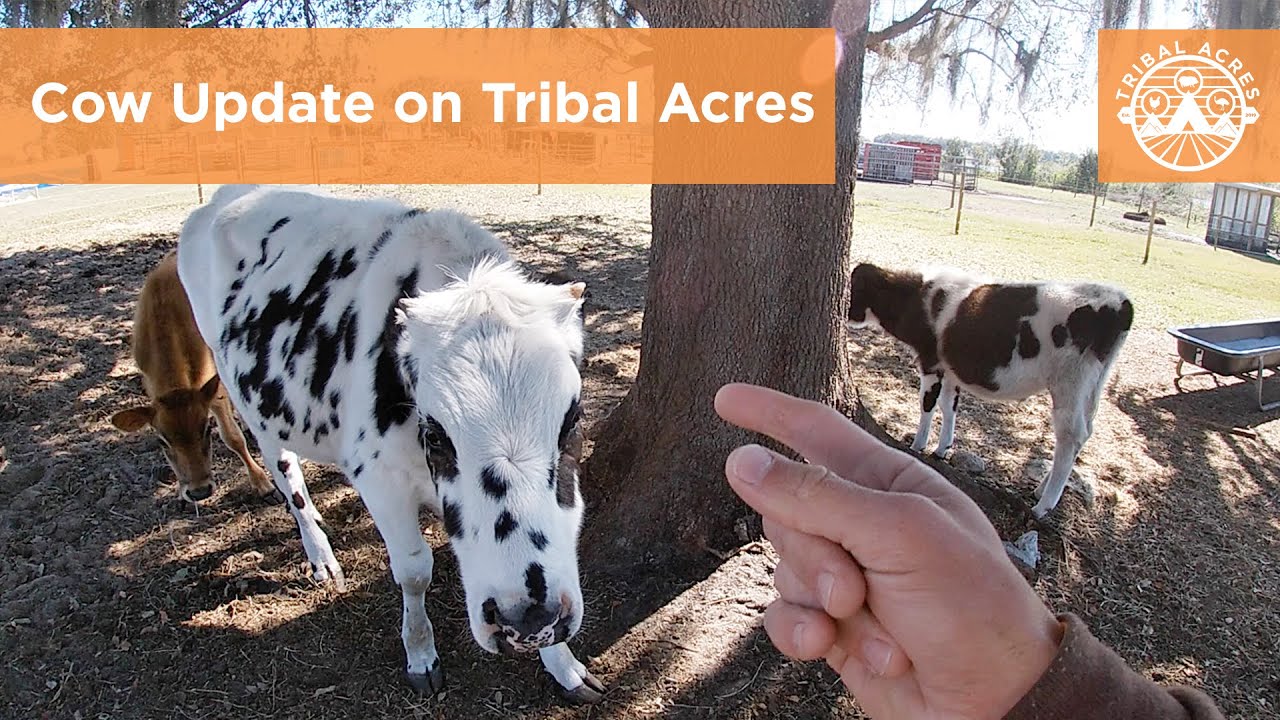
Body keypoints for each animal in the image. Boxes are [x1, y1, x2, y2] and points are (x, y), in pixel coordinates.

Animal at [111, 250, 273, 504]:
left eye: (205, 429)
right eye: (162, 440)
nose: (199, 491)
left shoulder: (215, 387)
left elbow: (231, 437)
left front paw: (262, 483)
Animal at [176, 185, 602, 703]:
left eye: (572, 421)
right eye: (436, 433)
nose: (526, 619)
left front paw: (563, 664)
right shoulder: (378, 478)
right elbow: (414, 569)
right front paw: (420, 653)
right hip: (248, 400)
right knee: (284, 470)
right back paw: (320, 554)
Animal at [847, 262, 1133, 519]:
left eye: (854, 287)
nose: (845, 314)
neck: (917, 297)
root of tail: (1120, 300)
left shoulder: (931, 361)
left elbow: (927, 403)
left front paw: (917, 446)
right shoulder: (950, 368)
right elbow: (949, 405)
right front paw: (942, 448)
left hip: (1071, 381)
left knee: (1070, 436)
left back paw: (1043, 505)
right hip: (1093, 384)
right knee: (1085, 433)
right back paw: (1041, 491)